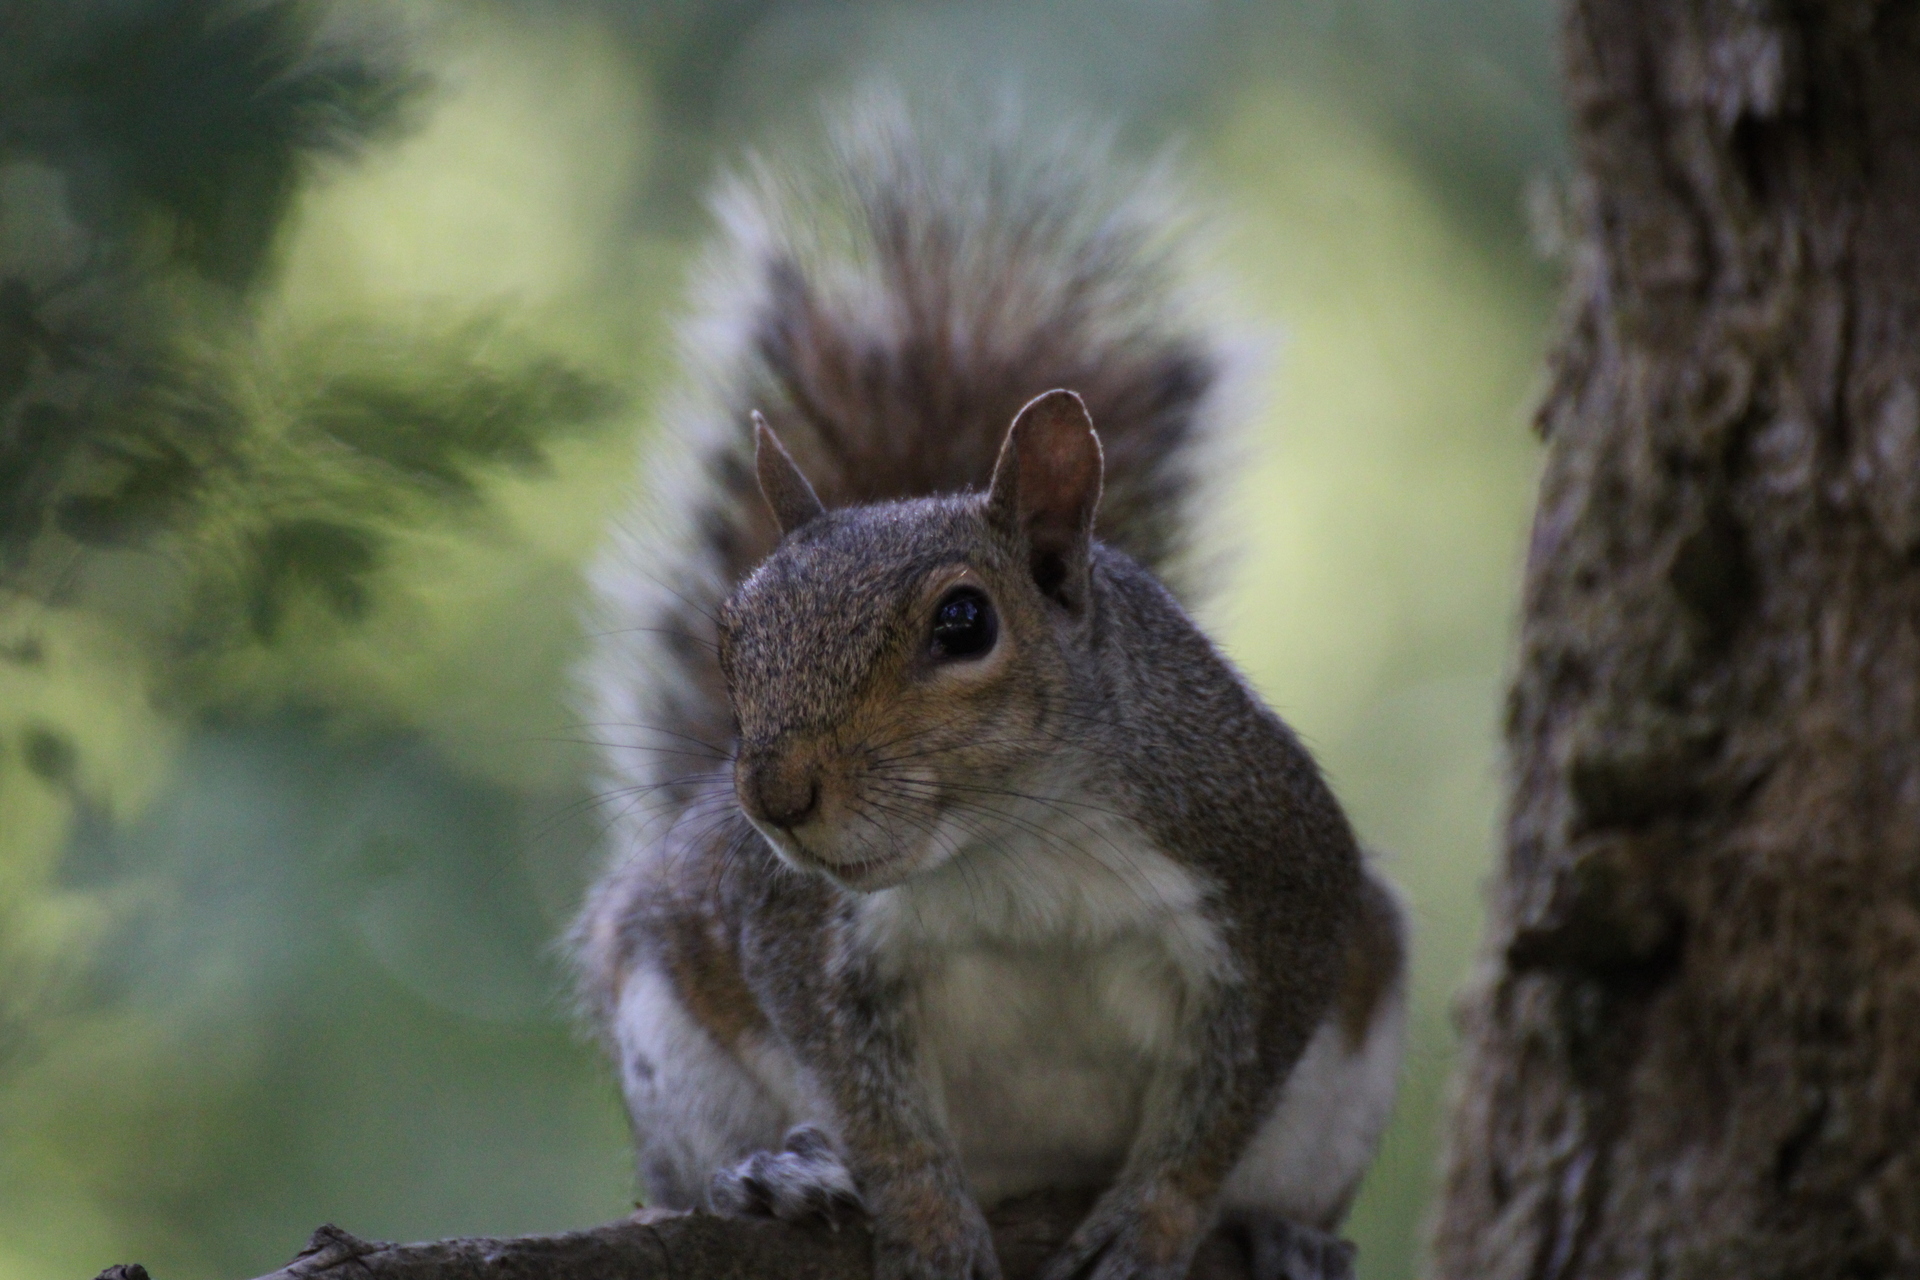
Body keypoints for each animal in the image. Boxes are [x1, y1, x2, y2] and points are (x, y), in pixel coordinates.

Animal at [572, 104, 1407, 1280]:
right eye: (730, 636)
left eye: (965, 623)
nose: (775, 797)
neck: (1012, 841)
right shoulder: (788, 918)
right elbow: (873, 1106)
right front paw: (924, 1217)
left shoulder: (1279, 868)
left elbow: (1221, 1111)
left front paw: (1154, 1221)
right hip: (665, 1029)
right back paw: (779, 1174)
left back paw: (1285, 1232)